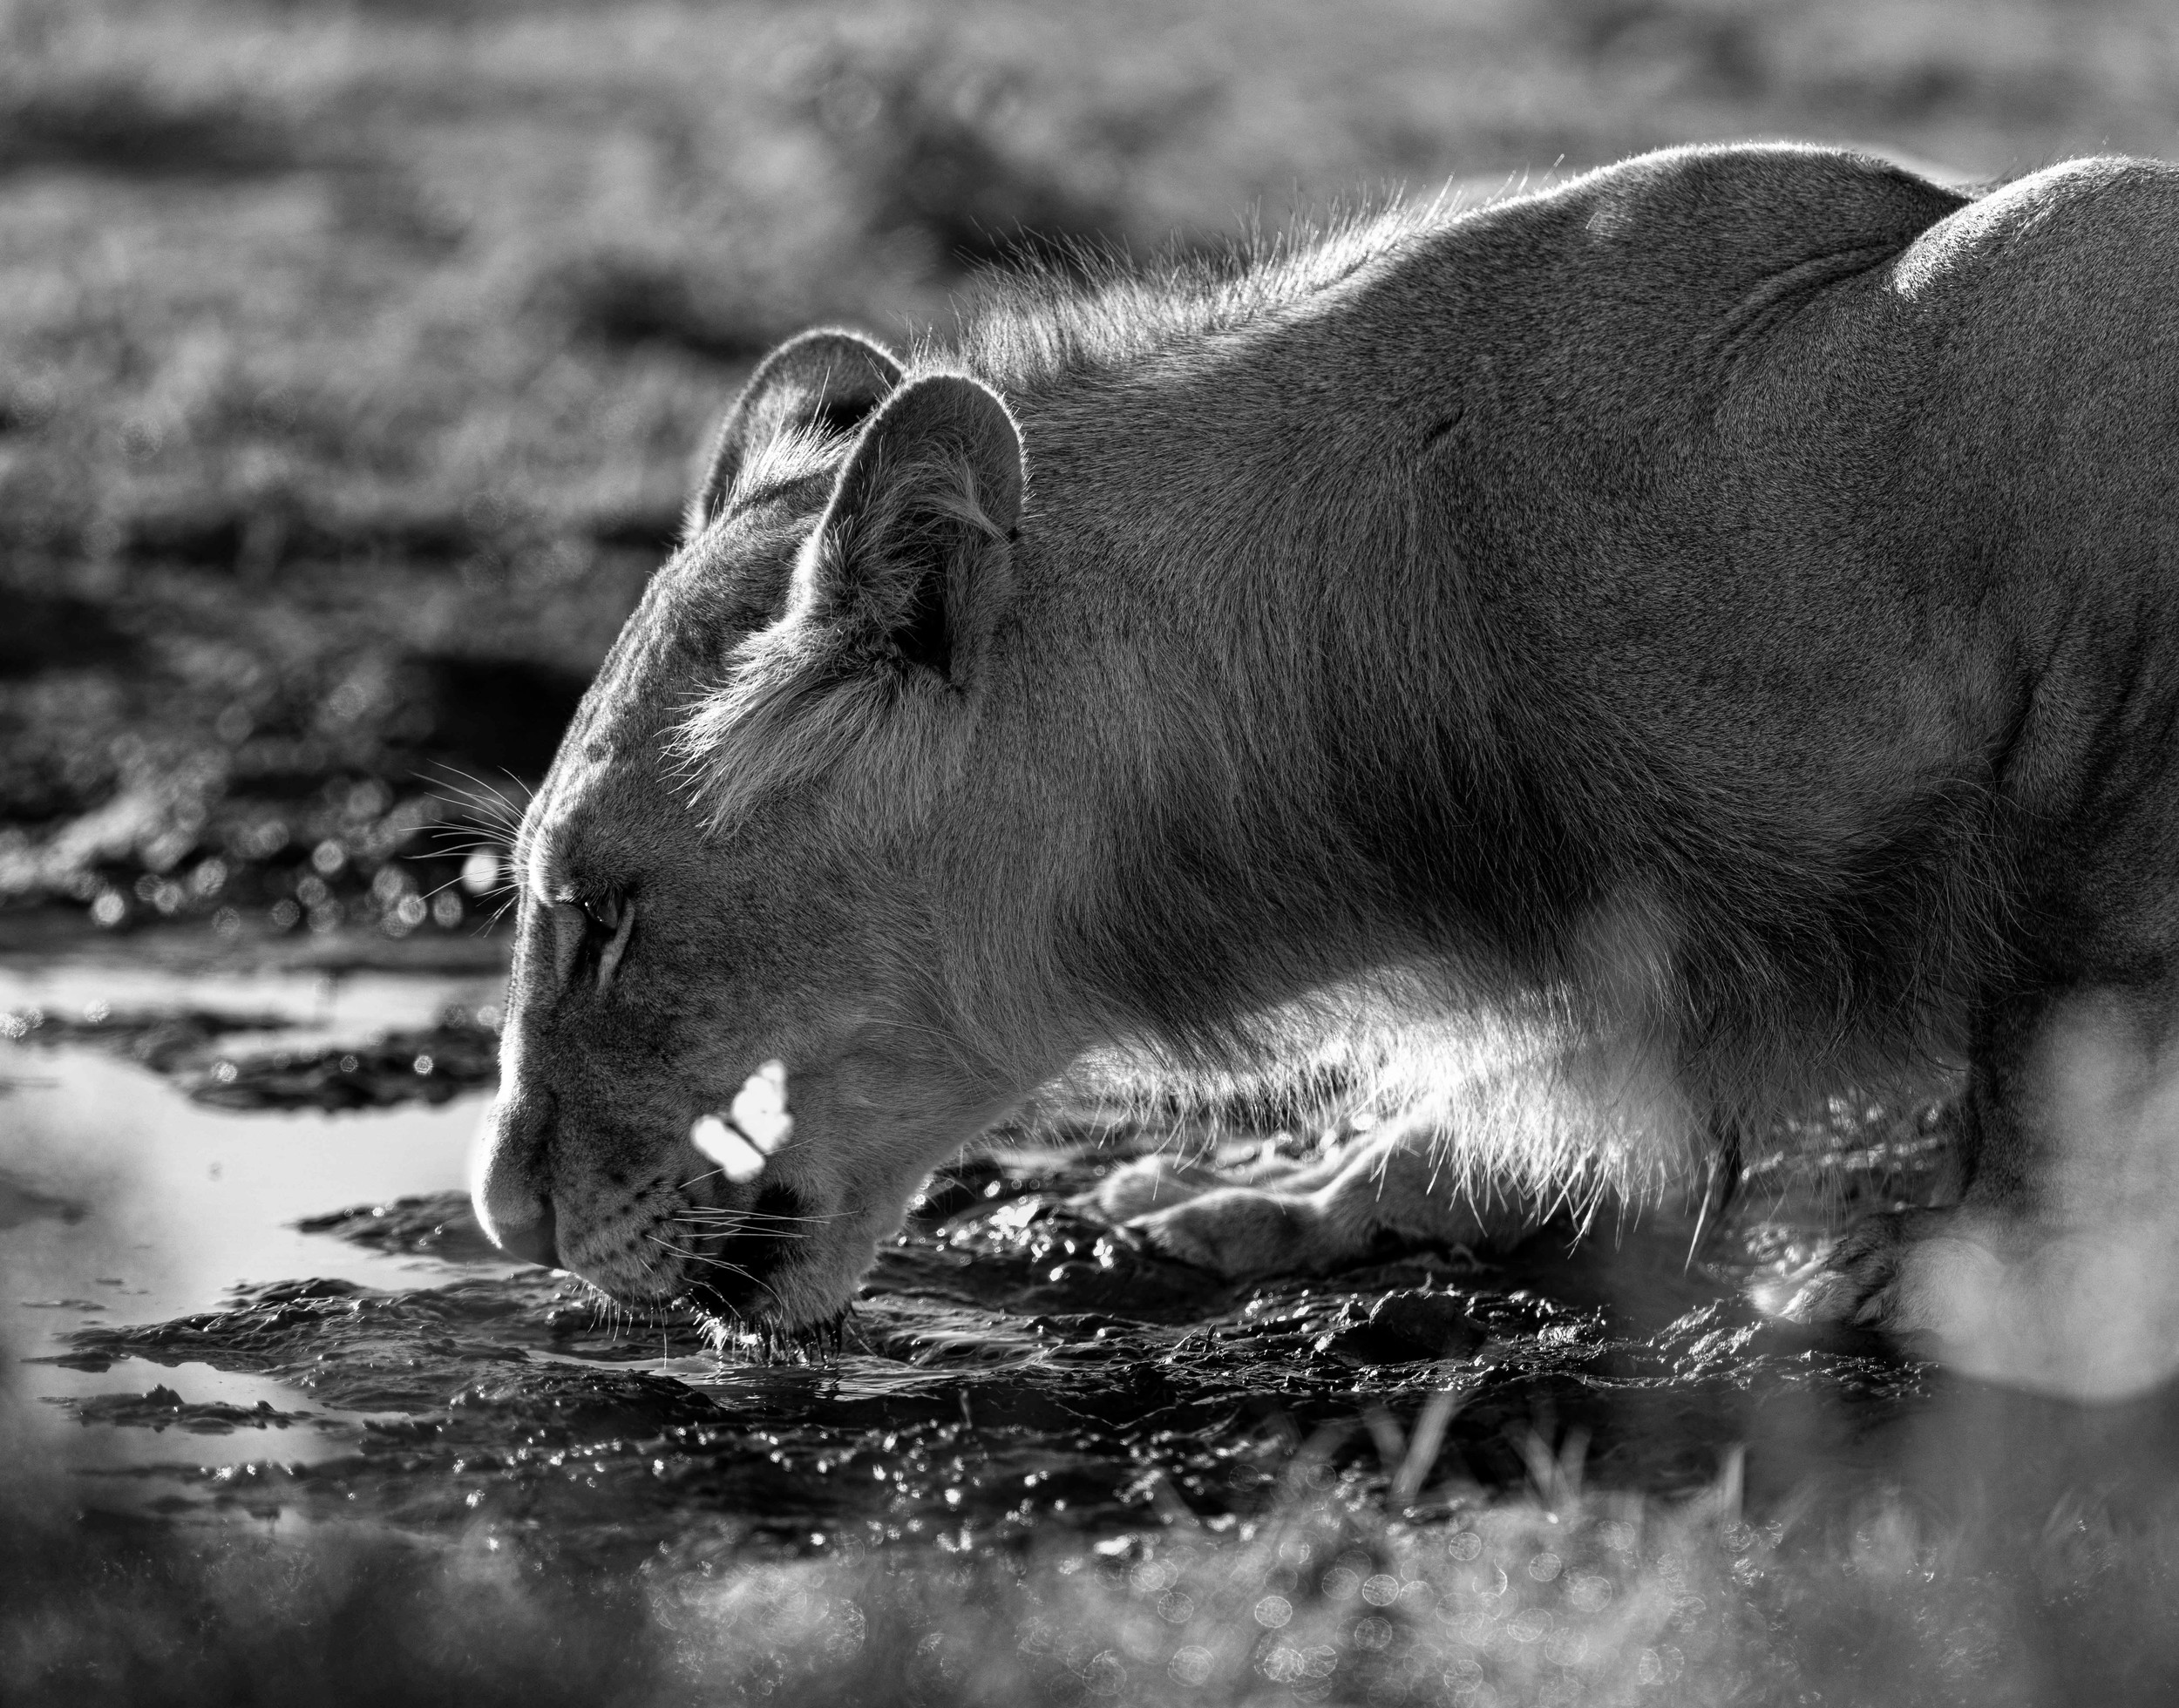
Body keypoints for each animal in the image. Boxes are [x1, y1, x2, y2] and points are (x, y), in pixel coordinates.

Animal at [472, 142, 2179, 1397]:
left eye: (603, 916)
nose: (503, 1219)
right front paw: (1285, 1192)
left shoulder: (2065, 310)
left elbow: (2054, 1034)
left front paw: (1946, 1268)